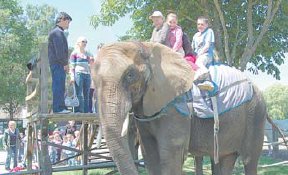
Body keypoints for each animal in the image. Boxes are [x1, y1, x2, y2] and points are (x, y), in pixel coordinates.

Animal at [91, 41, 266, 174]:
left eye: (130, 75)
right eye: (93, 79)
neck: (147, 47)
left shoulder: (175, 108)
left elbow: (170, 155)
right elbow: (150, 156)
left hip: (256, 114)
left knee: (249, 160)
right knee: (225, 159)